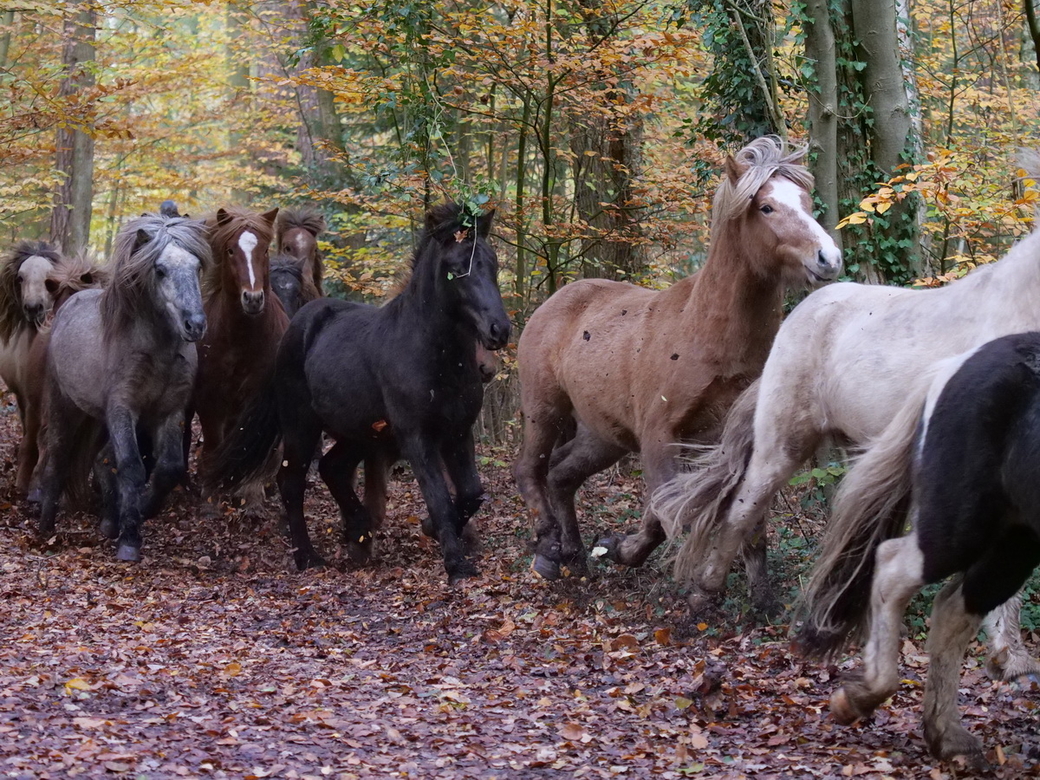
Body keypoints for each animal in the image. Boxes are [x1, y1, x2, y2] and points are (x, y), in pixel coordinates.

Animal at [38, 214, 209, 561]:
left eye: (197, 266)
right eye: (159, 270)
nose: (195, 325)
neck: (157, 351)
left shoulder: (169, 412)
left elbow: (169, 468)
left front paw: (140, 511)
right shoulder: (122, 409)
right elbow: (131, 466)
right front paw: (129, 540)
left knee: (102, 459)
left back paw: (108, 521)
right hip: (64, 406)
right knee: (58, 458)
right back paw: (46, 527)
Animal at [193, 205, 284, 501]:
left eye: (265, 250)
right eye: (231, 250)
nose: (253, 299)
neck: (240, 339)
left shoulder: (254, 398)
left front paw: (247, 489)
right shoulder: (209, 398)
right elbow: (213, 441)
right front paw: (210, 489)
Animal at [209, 201, 509, 582]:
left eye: (492, 263)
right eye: (455, 270)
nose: (499, 330)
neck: (435, 356)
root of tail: (296, 326)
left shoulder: (458, 433)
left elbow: (471, 493)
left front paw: (432, 531)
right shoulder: (416, 437)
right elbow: (440, 498)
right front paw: (457, 565)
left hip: (358, 433)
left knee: (332, 468)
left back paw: (359, 529)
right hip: (301, 425)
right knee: (291, 481)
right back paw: (309, 557)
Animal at [513, 136, 844, 582]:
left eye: (806, 202)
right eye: (766, 207)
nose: (827, 258)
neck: (706, 334)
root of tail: (554, 301)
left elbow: (749, 525)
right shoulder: (659, 437)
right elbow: (665, 513)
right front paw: (623, 549)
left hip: (604, 436)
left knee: (561, 476)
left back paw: (575, 553)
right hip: (543, 410)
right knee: (530, 470)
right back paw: (548, 550)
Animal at [653, 215, 1040, 682]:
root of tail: (803, 313)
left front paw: (1009, 655)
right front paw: (1010, 657)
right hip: (782, 445)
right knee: (743, 508)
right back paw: (706, 594)